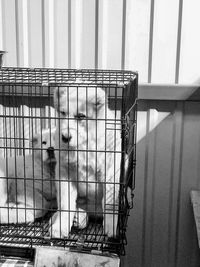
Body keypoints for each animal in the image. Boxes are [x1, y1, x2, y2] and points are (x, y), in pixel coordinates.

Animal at [49, 87, 122, 238]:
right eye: (63, 113)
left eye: (81, 116)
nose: (65, 137)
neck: (84, 144)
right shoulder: (64, 172)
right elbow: (65, 204)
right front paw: (60, 227)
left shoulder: (110, 170)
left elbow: (110, 201)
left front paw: (111, 228)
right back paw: (76, 217)